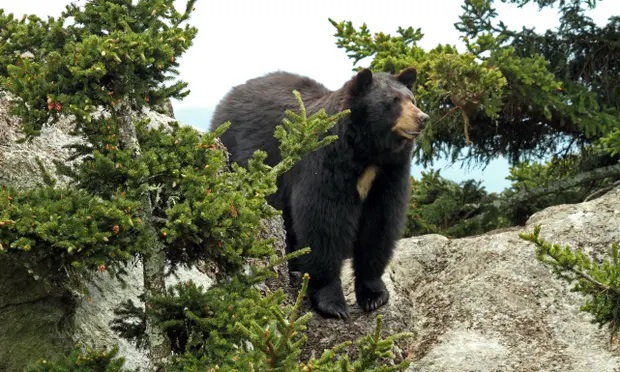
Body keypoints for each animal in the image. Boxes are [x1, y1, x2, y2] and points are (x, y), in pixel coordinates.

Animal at [211, 68, 428, 318]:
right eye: (393, 101)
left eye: (412, 99)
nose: (423, 118)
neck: (367, 152)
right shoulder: (325, 160)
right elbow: (323, 221)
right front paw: (332, 303)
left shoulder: (389, 174)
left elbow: (380, 223)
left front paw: (374, 295)